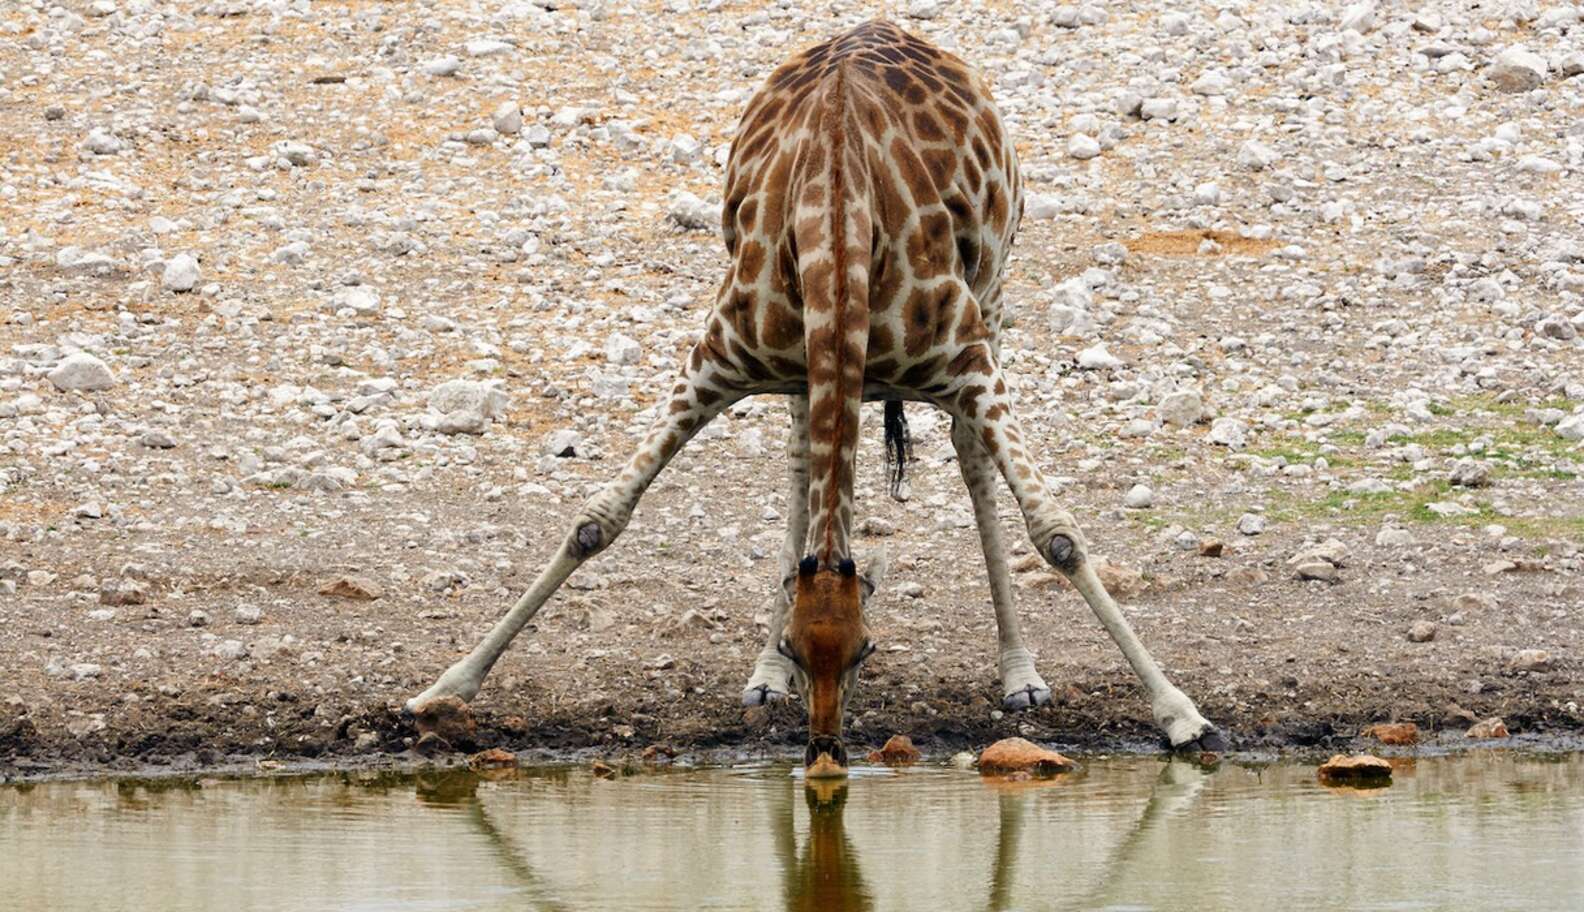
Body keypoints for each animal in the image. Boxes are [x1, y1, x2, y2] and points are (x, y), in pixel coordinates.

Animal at [408, 19, 1222, 769]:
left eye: (867, 650)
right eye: (799, 649)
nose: (824, 750)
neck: (838, 216)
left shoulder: (967, 360)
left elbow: (1056, 533)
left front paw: (1184, 715)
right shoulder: (717, 358)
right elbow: (597, 520)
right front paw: (444, 688)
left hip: (992, 295)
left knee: (969, 457)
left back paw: (1019, 675)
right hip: (804, 370)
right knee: (803, 460)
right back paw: (758, 676)